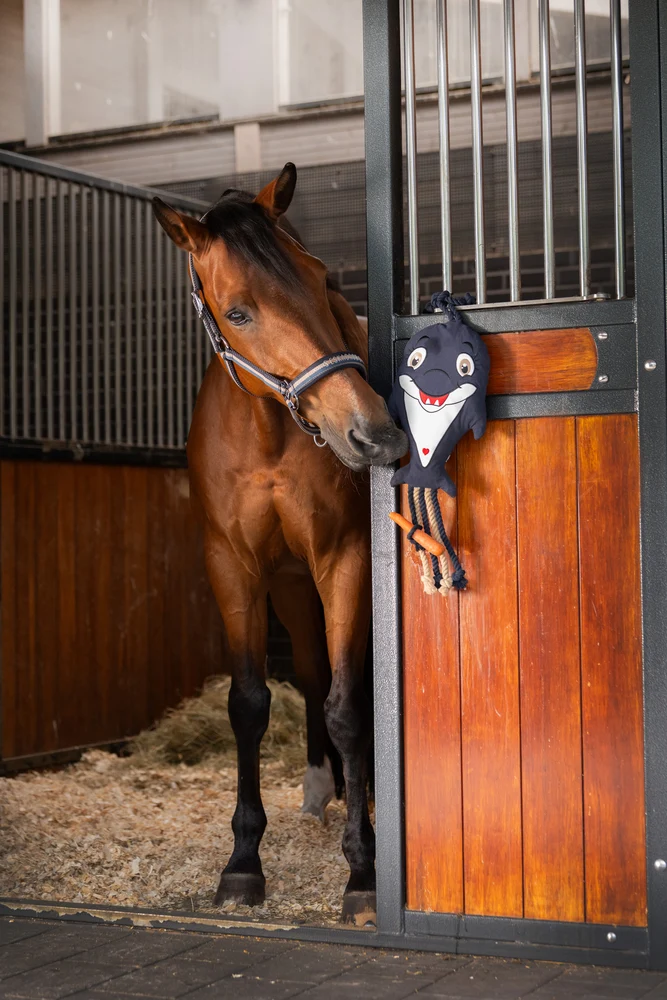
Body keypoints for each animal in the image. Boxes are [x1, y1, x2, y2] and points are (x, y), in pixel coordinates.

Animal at [152, 163, 407, 924]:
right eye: (238, 313)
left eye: (321, 279)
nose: (373, 433)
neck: (267, 436)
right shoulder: (232, 568)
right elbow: (250, 704)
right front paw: (242, 863)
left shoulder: (344, 559)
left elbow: (349, 706)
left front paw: (363, 871)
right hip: (292, 590)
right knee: (315, 673)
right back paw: (325, 791)